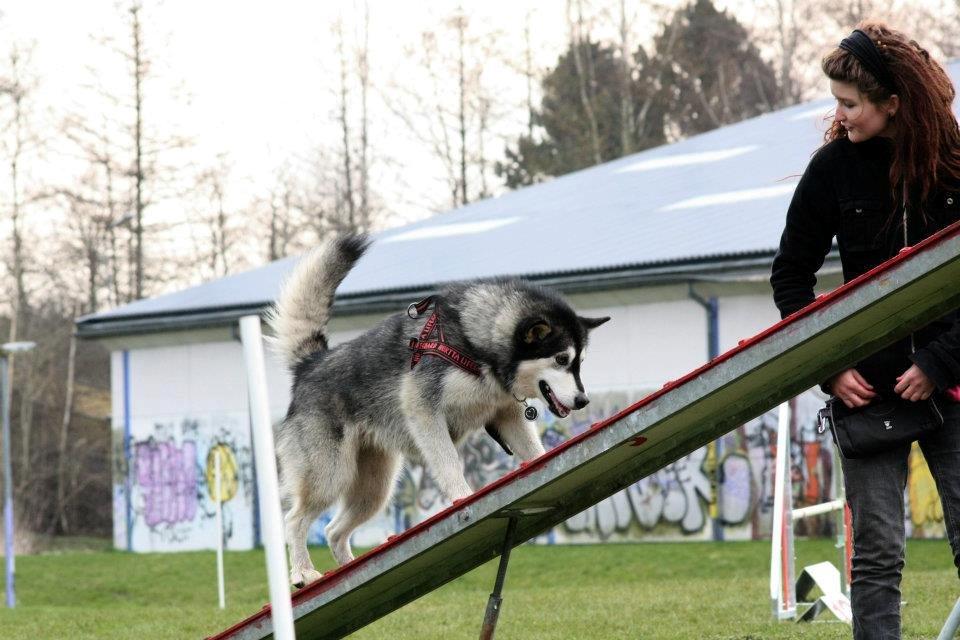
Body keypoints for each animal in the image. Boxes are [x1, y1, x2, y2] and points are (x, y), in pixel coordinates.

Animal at [264, 235, 608, 584]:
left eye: (579, 363)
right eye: (561, 359)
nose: (583, 401)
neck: (476, 343)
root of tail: (311, 363)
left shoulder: (507, 415)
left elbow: (536, 453)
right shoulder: (424, 408)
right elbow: (449, 463)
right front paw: (462, 498)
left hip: (375, 489)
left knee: (334, 531)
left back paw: (348, 570)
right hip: (330, 475)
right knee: (294, 519)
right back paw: (303, 572)